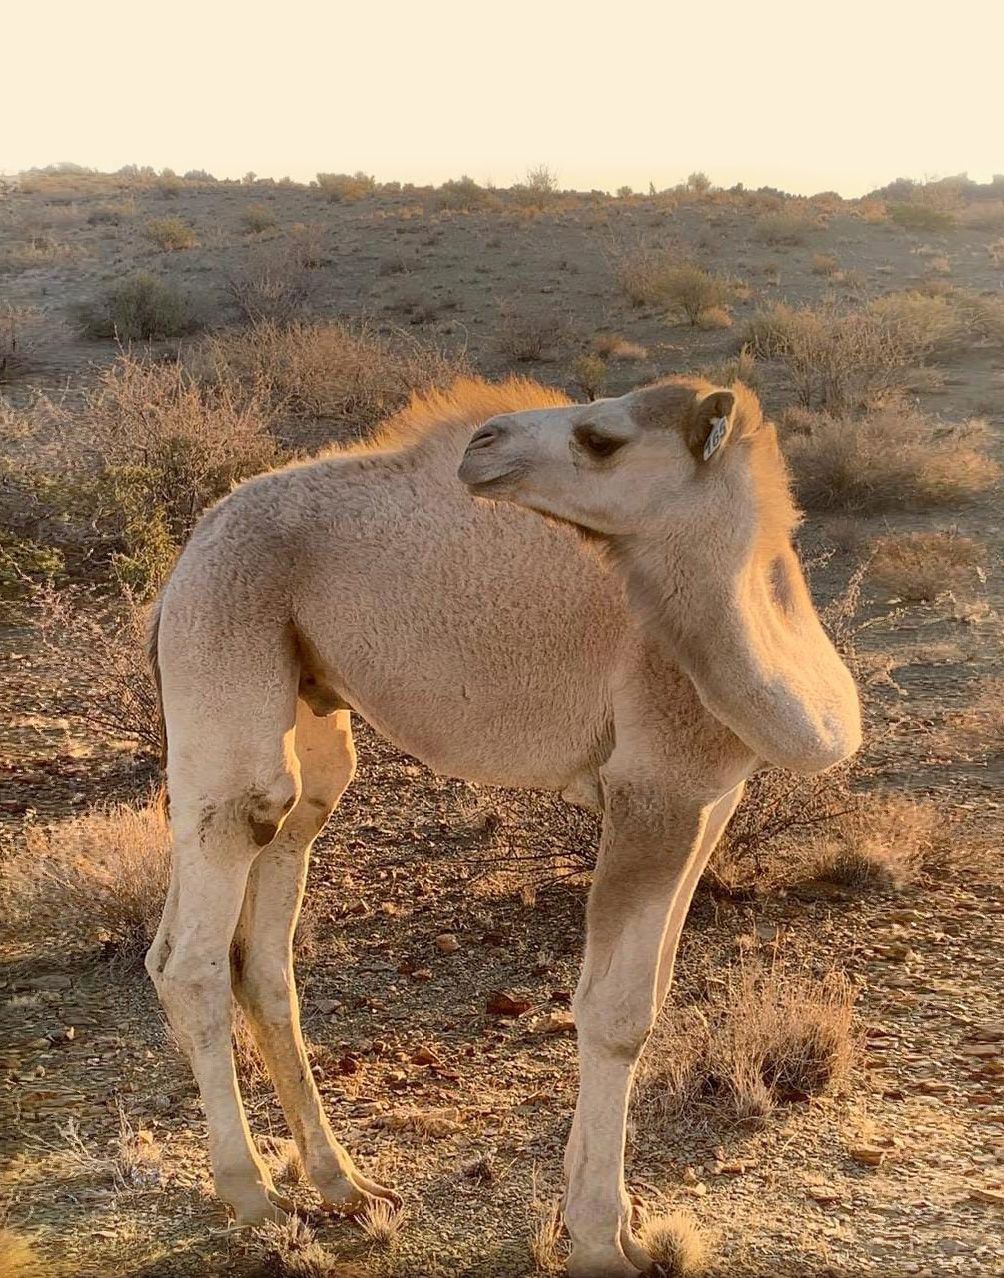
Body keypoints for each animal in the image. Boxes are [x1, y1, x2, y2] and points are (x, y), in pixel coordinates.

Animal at [146, 374, 861, 1277]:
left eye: (601, 439)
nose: (481, 444)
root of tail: (188, 555)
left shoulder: (711, 798)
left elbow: (652, 993)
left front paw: (623, 1222)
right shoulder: (653, 789)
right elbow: (613, 1013)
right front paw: (598, 1239)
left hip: (306, 717)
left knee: (260, 939)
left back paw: (344, 1183)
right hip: (225, 659)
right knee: (195, 952)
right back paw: (252, 1196)